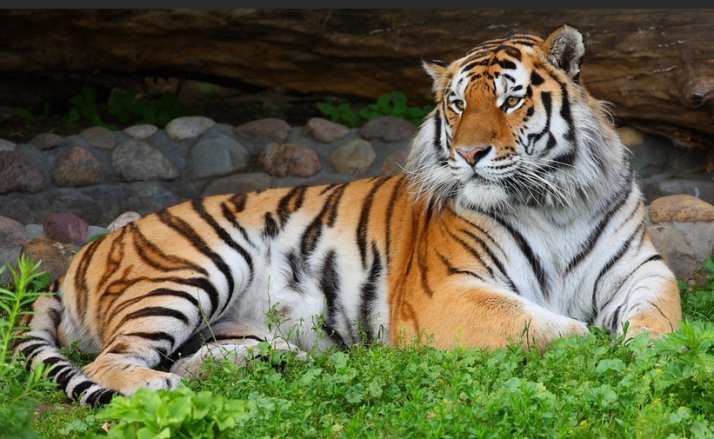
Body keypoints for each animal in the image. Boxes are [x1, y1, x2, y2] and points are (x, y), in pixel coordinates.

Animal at [15, 25, 681, 406]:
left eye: (511, 99)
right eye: (457, 104)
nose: (469, 154)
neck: (552, 199)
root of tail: (75, 260)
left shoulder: (642, 271)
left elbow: (661, 322)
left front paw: (650, 350)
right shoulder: (447, 292)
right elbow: (551, 329)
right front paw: (595, 345)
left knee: (200, 356)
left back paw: (278, 364)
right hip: (193, 267)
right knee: (111, 360)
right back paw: (161, 386)